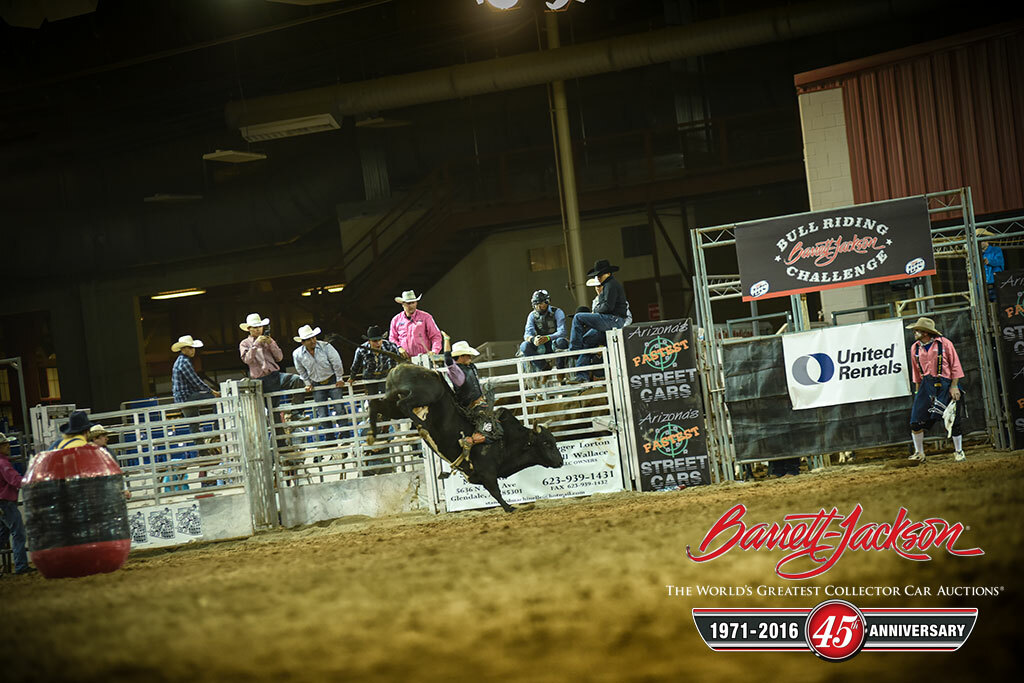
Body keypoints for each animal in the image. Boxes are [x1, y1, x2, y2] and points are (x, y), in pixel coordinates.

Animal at [366, 362, 565, 511]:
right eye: (546, 443)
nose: (561, 461)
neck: (505, 440)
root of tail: (401, 367)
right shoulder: (487, 472)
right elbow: (495, 491)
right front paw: (510, 508)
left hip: (392, 403)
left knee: (377, 405)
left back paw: (372, 434)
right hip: (422, 395)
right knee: (403, 403)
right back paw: (420, 425)